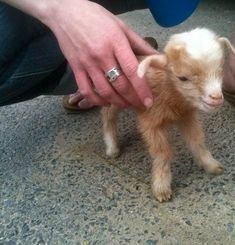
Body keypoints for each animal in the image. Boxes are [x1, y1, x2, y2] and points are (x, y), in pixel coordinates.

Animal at [100, 27, 235, 202]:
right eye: (182, 78)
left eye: (220, 71)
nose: (216, 98)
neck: (172, 95)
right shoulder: (151, 122)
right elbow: (162, 153)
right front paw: (161, 187)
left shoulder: (187, 116)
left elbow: (197, 141)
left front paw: (210, 165)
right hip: (114, 98)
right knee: (107, 116)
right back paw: (112, 147)